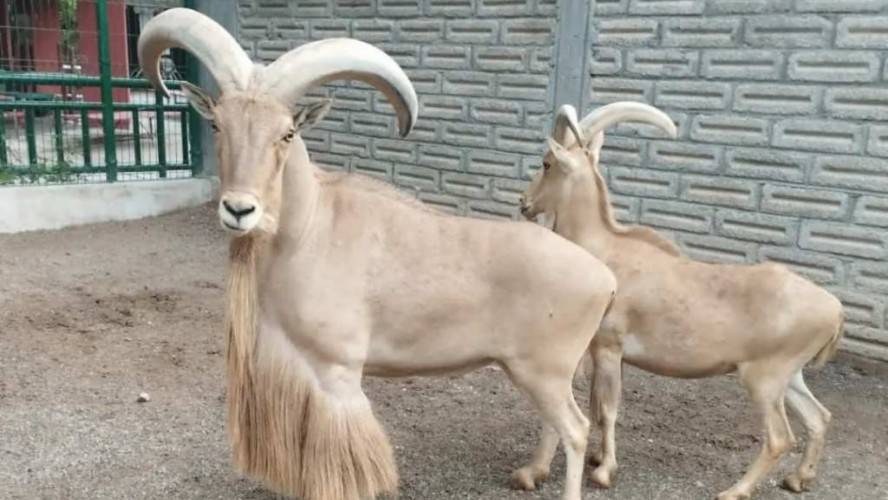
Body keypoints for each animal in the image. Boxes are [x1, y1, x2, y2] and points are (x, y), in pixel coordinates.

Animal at [139, 9, 617, 500]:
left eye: (287, 133)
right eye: (218, 125)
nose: (239, 209)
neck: (309, 229)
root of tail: (605, 278)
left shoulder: (337, 372)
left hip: (544, 371)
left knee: (577, 429)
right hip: (544, 374)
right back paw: (530, 473)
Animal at [517, 101, 845, 500]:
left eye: (547, 163)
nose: (524, 203)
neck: (606, 250)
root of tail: (835, 310)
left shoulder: (609, 347)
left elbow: (607, 409)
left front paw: (604, 472)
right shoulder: (605, 352)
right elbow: (597, 406)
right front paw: (593, 460)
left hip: (764, 378)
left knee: (780, 437)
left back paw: (734, 491)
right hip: (790, 375)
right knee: (819, 416)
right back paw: (799, 479)